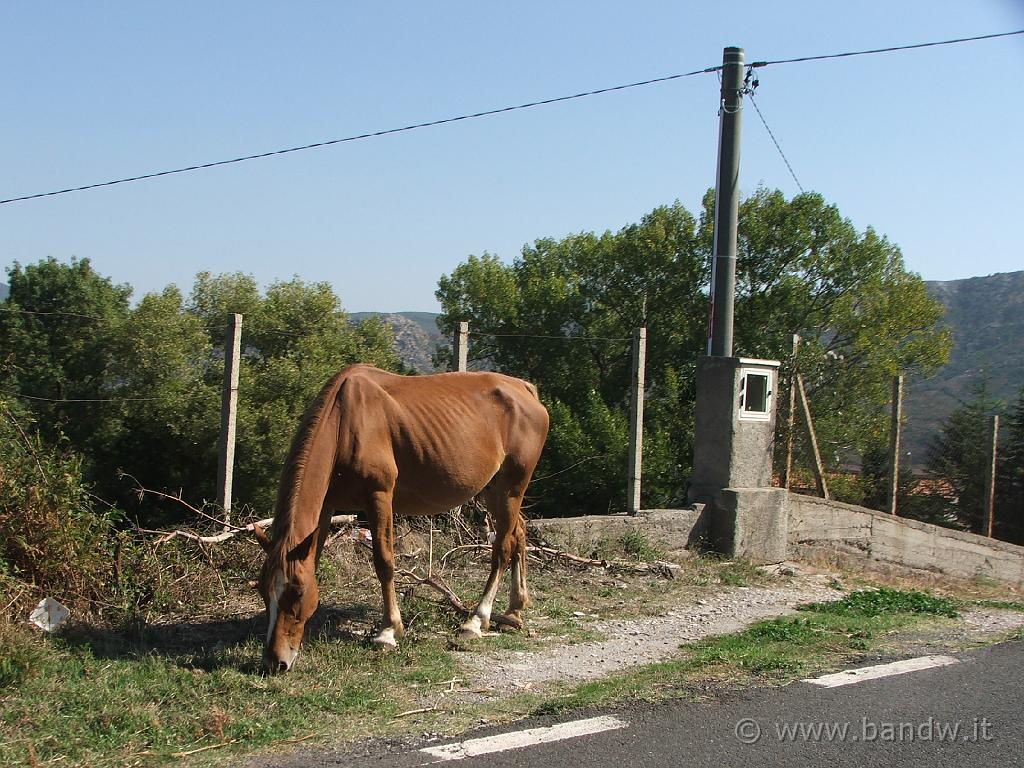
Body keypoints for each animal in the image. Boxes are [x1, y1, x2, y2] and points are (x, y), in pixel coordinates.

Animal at [250, 364, 548, 671]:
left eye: (296, 592)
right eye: (262, 589)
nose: (274, 661)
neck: (345, 420)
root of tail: (524, 390)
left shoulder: (379, 496)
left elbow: (384, 562)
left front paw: (388, 631)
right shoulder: (327, 505)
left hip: (511, 488)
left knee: (502, 548)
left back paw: (477, 620)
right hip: (494, 490)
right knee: (518, 534)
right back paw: (513, 612)